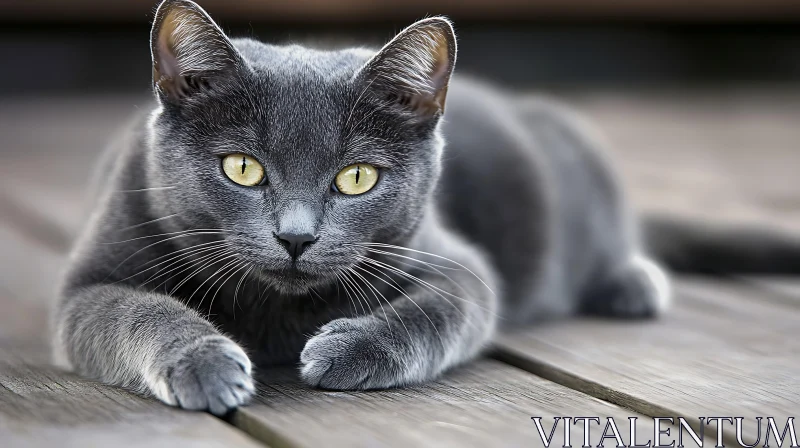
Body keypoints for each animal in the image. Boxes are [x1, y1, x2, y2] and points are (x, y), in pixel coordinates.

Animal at [53, 0, 672, 416]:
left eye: (356, 177)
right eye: (242, 167)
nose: (296, 237)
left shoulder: (459, 266)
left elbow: (432, 313)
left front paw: (347, 350)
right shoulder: (85, 285)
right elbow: (137, 313)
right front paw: (206, 364)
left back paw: (634, 283)